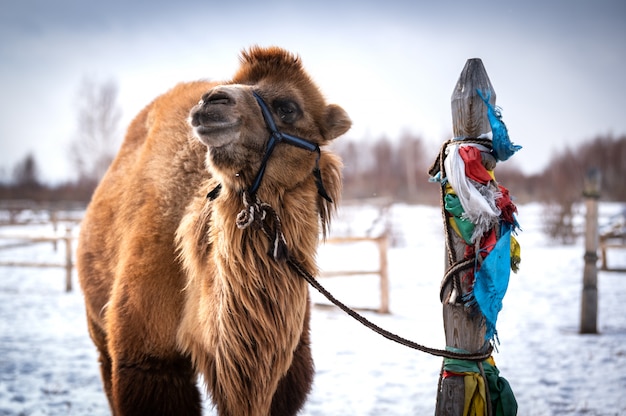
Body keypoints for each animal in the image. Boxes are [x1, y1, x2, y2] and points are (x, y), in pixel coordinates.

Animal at [77, 45, 352, 416]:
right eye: (235, 83)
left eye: (288, 107)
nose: (211, 101)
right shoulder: (148, 361)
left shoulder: (288, 374)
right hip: (100, 332)